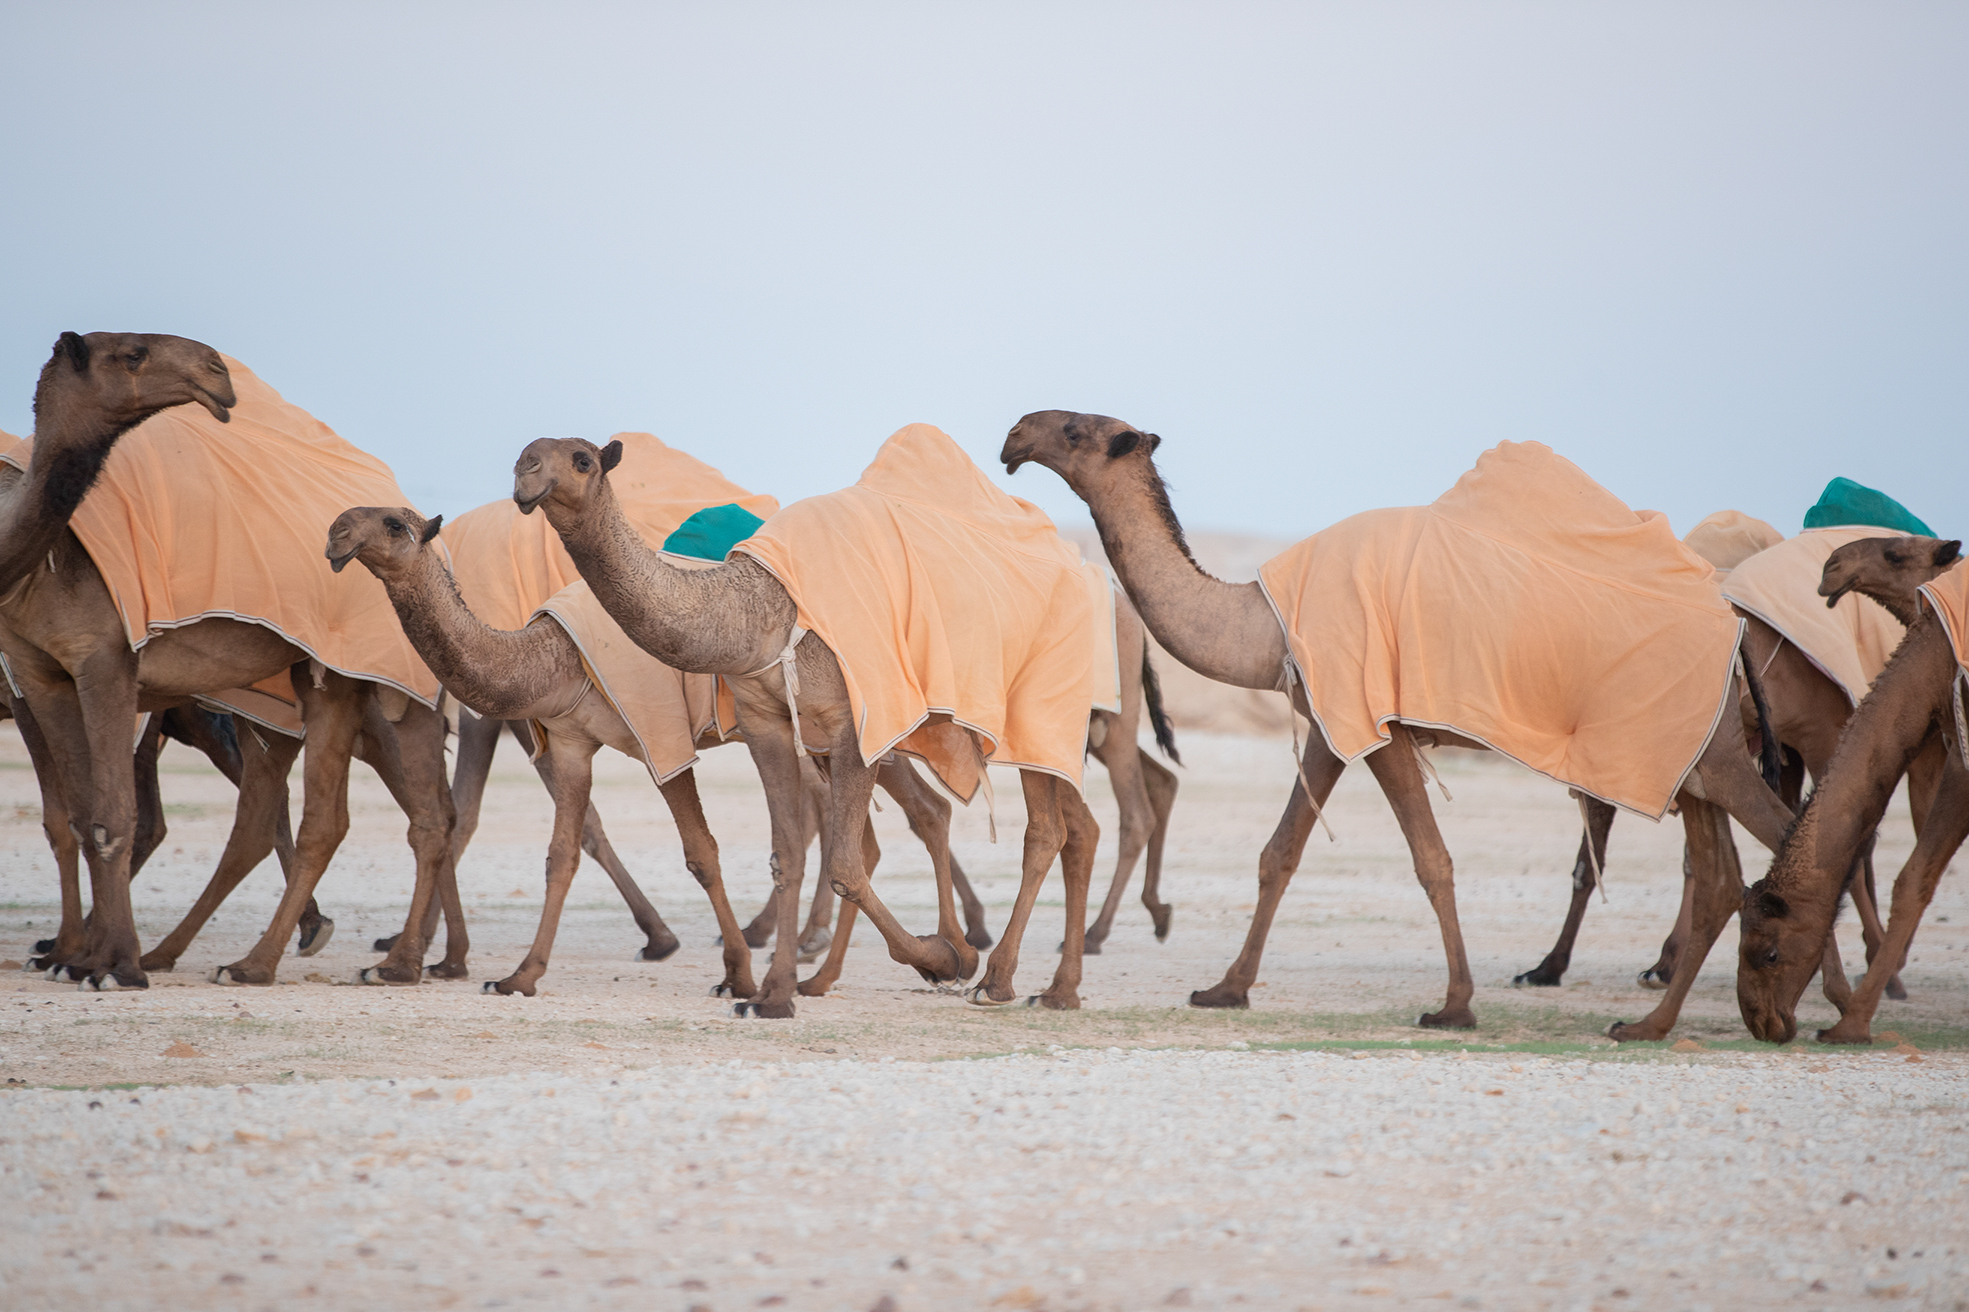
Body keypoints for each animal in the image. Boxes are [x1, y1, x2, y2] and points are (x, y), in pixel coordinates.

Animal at [0, 333, 461, 989]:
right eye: (132, 354)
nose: (216, 370)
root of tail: (437, 545)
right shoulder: (37, 673)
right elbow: (80, 818)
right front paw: (79, 957)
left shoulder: (105, 660)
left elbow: (112, 815)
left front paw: (110, 965)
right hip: (301, 696)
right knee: (284, 818)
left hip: (392, 681)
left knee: (408, 816)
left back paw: (370, 964)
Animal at [514, 436, 1100, 1017]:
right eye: (527, 453)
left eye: (582, 460)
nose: (525, 473)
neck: (760, 610)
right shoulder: (764, 720)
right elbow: (788, 854)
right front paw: (771, 995)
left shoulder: (855, 720)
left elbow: (845, 865)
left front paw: (941, 959)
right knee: (1027, 822)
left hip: (1043, 700)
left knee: (1042, 828)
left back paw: (998, 980)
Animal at [1002, 411, 1798, 1038]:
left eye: (1074, 430)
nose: (1013, 435)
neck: (1267, 618)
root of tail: (1733, 633)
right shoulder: (1329, 720)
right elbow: (1279, 854)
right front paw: (1225, 989)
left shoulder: (1378, 724)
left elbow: (1431, 859)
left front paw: (1454, 1005)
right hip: (1689, 762)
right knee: (1722, 876)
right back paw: (1655, 1024)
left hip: (1707, 752)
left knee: (1781, 834)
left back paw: (1779, 1014)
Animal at [1739, 551, 1969, 1043]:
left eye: (1769, 952)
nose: (1761, 1022)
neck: (1932, 665)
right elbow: (1913, 877)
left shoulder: (1964, 762)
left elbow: (1913, 878)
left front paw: (1850, 1024)